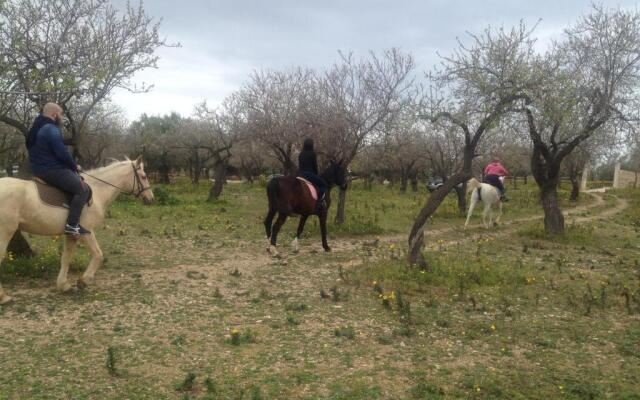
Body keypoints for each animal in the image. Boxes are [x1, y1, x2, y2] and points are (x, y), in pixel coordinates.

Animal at [0, 156, 154, 304]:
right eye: (144, 176)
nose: (151, 199)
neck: (97, 191)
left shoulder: (71, 235)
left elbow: (66, 258)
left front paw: (63, 285)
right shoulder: (87, 233)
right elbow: (98, 255)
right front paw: (83, 281)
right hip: (5, 232)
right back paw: (3, 297)